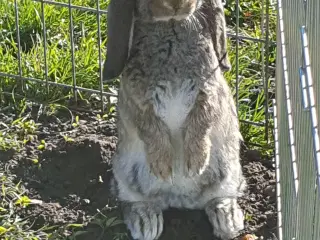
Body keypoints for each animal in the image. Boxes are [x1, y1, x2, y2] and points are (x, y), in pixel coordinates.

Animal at [102, 0, 245, 238]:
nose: (176, 5)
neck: (171, 25)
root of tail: (181, 198)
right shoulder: (138, 99)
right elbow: (149, 127)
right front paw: (163, 167)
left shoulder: (208, 90)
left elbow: (202, 120)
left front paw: (195, 163)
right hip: (126, 175)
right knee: (134, 201)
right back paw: (146, 224)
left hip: (228, 169)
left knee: (218, 197)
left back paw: (228, 221)